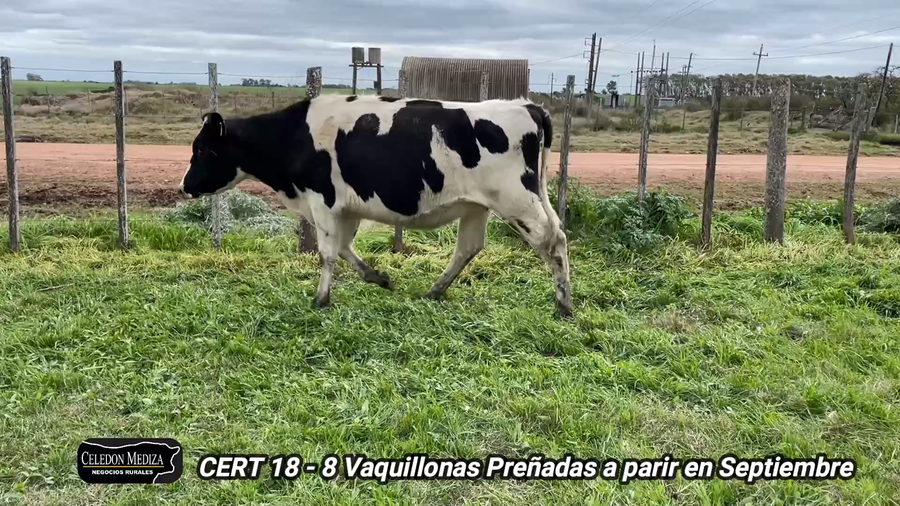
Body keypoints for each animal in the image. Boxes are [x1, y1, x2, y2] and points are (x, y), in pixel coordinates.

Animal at [180, 94, 573, 317]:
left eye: (203, 149)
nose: (184, 186)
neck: (294, 135)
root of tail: (526, 105)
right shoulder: (345, 207)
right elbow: (343, 248)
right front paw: (378, 277)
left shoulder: (322, 200)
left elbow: (327, 253)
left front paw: (321, 299)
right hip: (478, 206)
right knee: (469, 247)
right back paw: (435, 291)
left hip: (518, 199)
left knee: (554, 241)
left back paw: (564, 305)